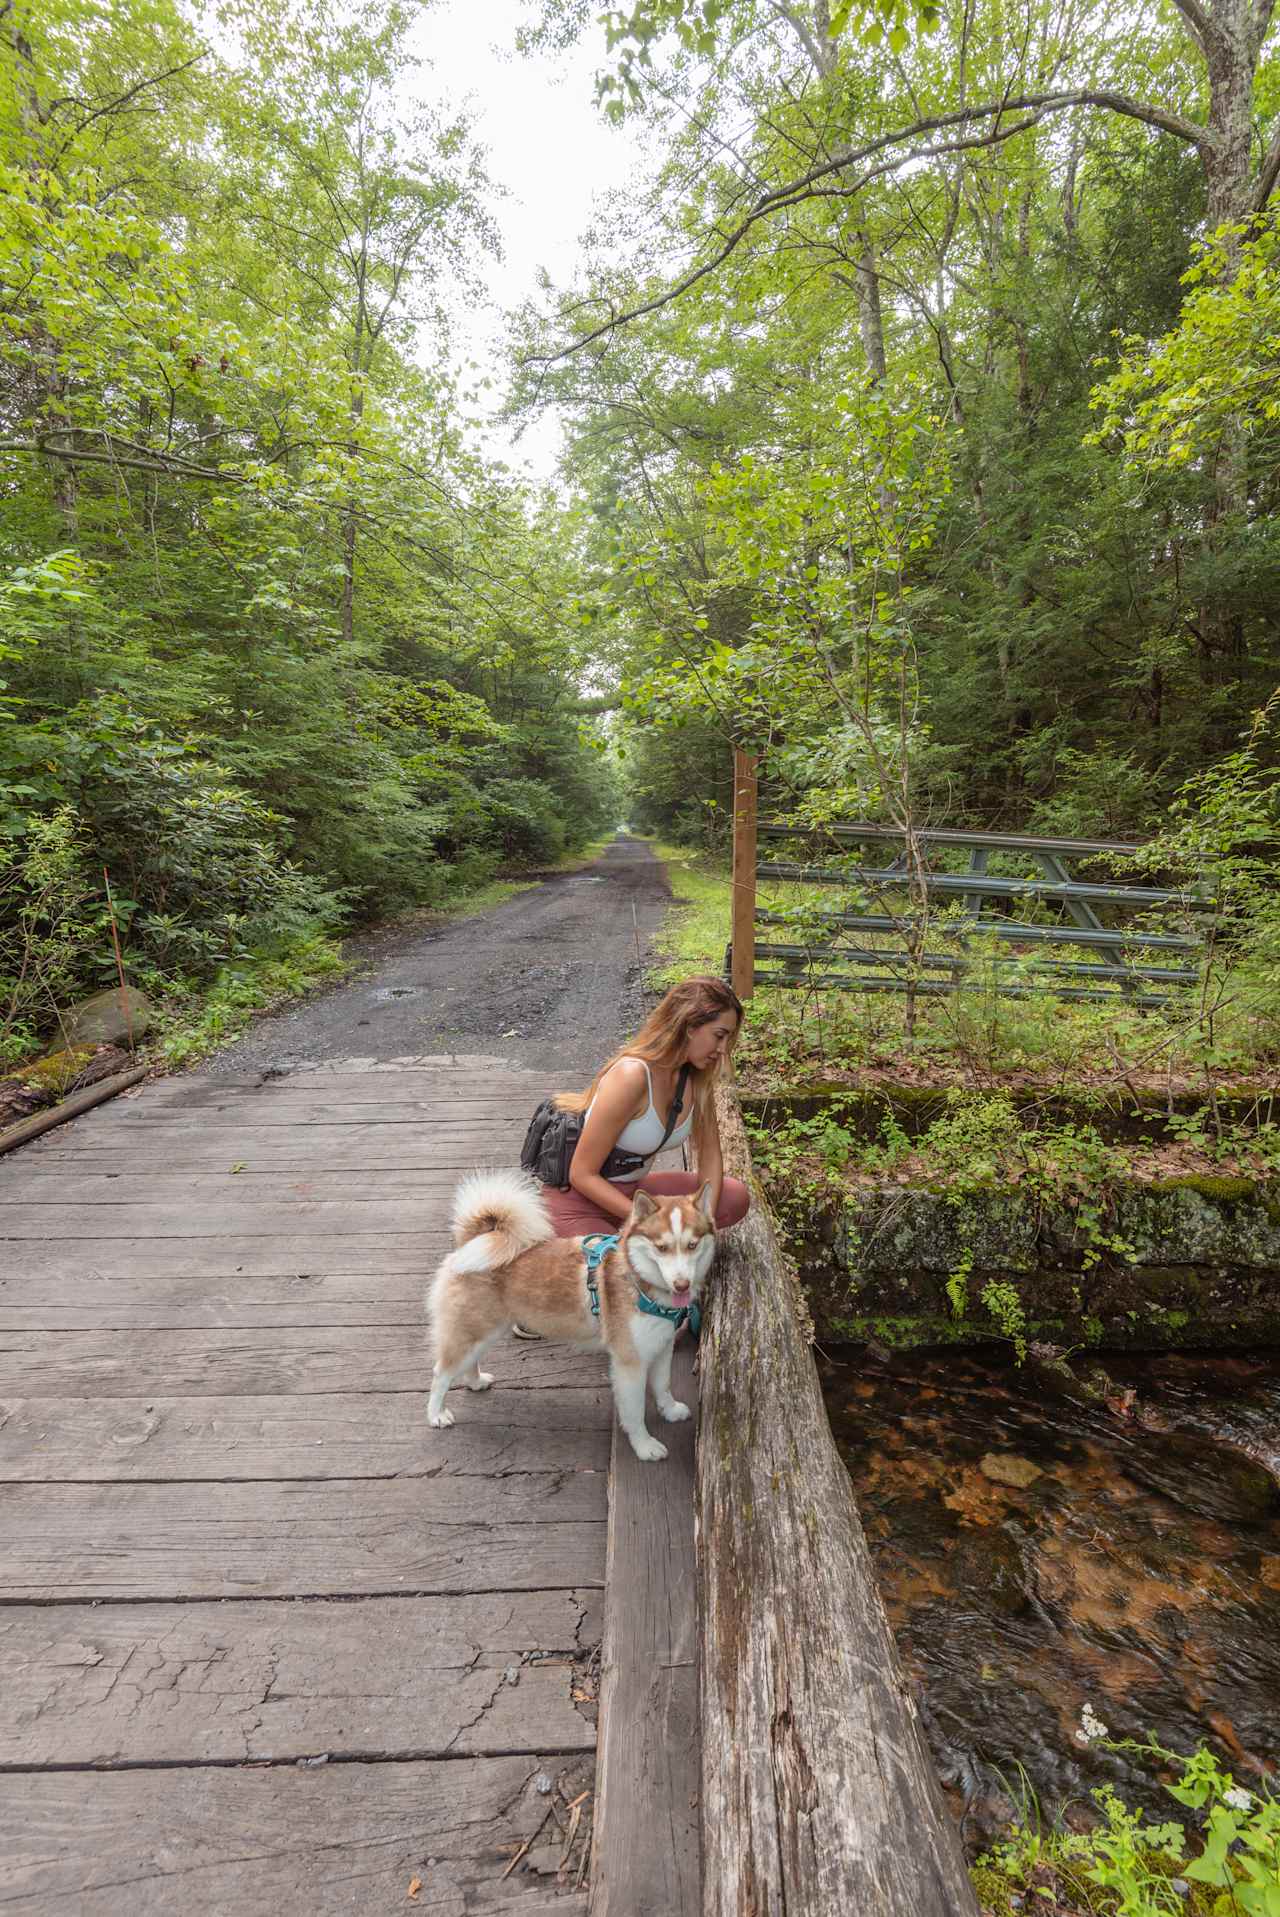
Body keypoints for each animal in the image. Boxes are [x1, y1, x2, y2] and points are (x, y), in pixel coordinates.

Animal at [427, 1165, 708, 1464]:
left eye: (692, 1245)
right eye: (661, 1247)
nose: (682, 1284)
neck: (638, 1281)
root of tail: (472, 1240)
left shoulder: (662, 1347)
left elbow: (663, 1384)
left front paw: (671, 1410)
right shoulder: (629, 1362)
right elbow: (635, 1412)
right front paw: (644, 1446)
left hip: (487, 1331)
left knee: (469, 1362)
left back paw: (476, 1382)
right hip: (472, 1332)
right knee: (441, 1373)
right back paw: (436, 1414)